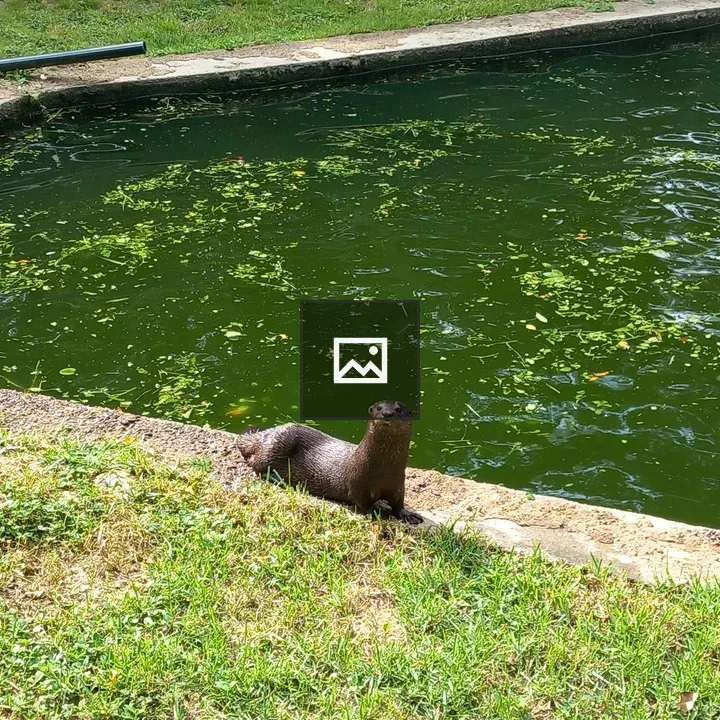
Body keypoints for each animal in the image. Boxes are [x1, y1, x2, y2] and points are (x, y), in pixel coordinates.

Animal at [237, 400, 422, 524]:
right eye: (378, 408)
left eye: (398, 410)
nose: (387, 414)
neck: (384, 469)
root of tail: (264, 435)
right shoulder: (357, 482)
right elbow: (363, 502)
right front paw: (376, 511)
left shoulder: (398, 483)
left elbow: (398, 502)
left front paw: (408, 514)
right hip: (277, 445)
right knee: (257, 465)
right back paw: (281, 479)